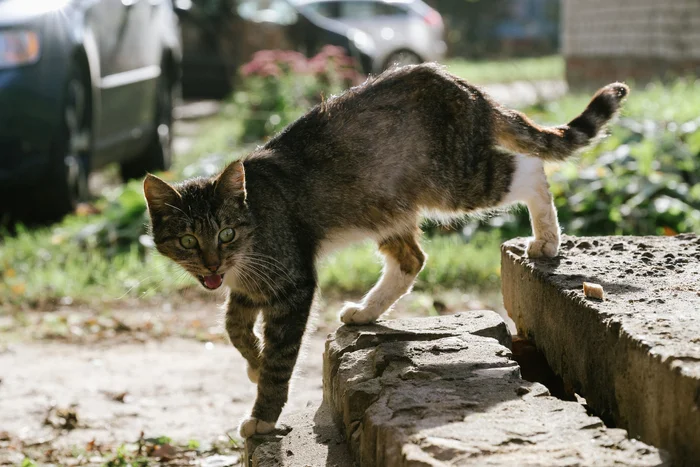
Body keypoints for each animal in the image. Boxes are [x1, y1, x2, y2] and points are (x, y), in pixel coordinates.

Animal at [144, 63, 628, 438]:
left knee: (530, 170)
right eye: (188, 241)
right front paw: (253, 363)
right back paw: (366, 311)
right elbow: (233, 325)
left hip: (453, 180)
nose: (212, 264)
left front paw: (264, 412)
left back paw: (546, 238)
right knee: (412, 259)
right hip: (384, 206)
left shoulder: (293, 283)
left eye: (225, 233)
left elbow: (280, 360)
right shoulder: (247, 287)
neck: (254, 225)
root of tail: (468, 88)